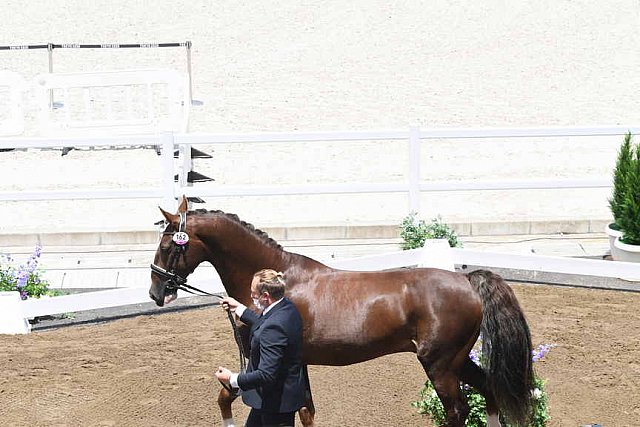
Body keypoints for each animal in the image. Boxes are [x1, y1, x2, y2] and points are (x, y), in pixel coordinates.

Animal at [150, 198, 536, 427]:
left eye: (168, 245)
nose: (156, 292)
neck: (281, 278)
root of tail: (467, 280)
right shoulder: (296, 363)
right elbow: (305, 410)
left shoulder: (263, 365)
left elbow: (227, 395)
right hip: (457, 360)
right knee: (488, 389)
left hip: (440, 365)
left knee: (457, 410)